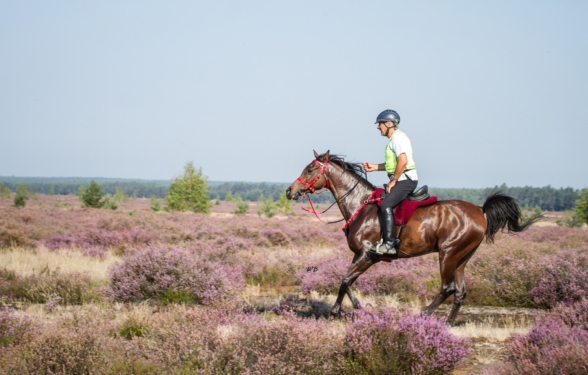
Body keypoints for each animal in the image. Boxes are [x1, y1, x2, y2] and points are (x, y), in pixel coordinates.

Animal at [284, 150, 544, 326]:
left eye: (310, 169)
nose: (289, 191)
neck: (360, 205)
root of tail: (480, 211)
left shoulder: (368, 255)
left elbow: (345, 280)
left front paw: (337, 311)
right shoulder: (359, 255)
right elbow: (346, 281)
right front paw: (357, 307)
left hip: (448, 254)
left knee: (447, 288)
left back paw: (423, 316)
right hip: (462, 258)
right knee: (460, 292)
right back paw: (447, 323)